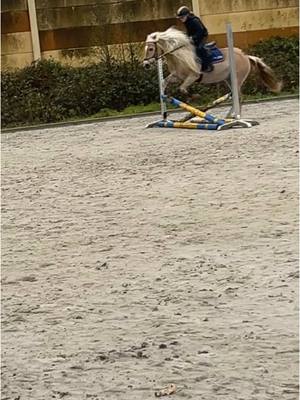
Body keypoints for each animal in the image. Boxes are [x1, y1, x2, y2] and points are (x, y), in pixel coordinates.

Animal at [142, 27, 282, 115]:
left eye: (150, 49)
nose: (146, 65)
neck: (178, 55)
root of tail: (246, 56)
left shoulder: (193, 76)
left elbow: (182, 88)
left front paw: (195, 97)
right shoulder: (177, 76)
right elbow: (165, 82)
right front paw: (164, 96)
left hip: (236, 80)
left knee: (238, 97)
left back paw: (232, 117)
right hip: (229, 80)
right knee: (236, 96)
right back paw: (230, 116)